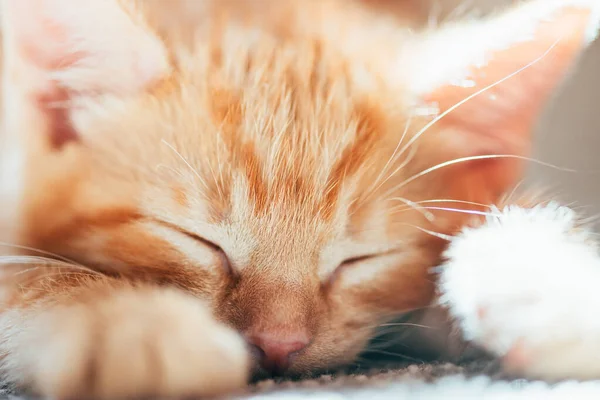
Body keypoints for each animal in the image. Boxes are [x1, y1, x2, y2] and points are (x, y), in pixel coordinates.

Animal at [0, 0, 596, 396]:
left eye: (361, 259)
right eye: (199, 241)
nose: (278, 343)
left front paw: (544, 280)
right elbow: (29, 274)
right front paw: (130, 323)